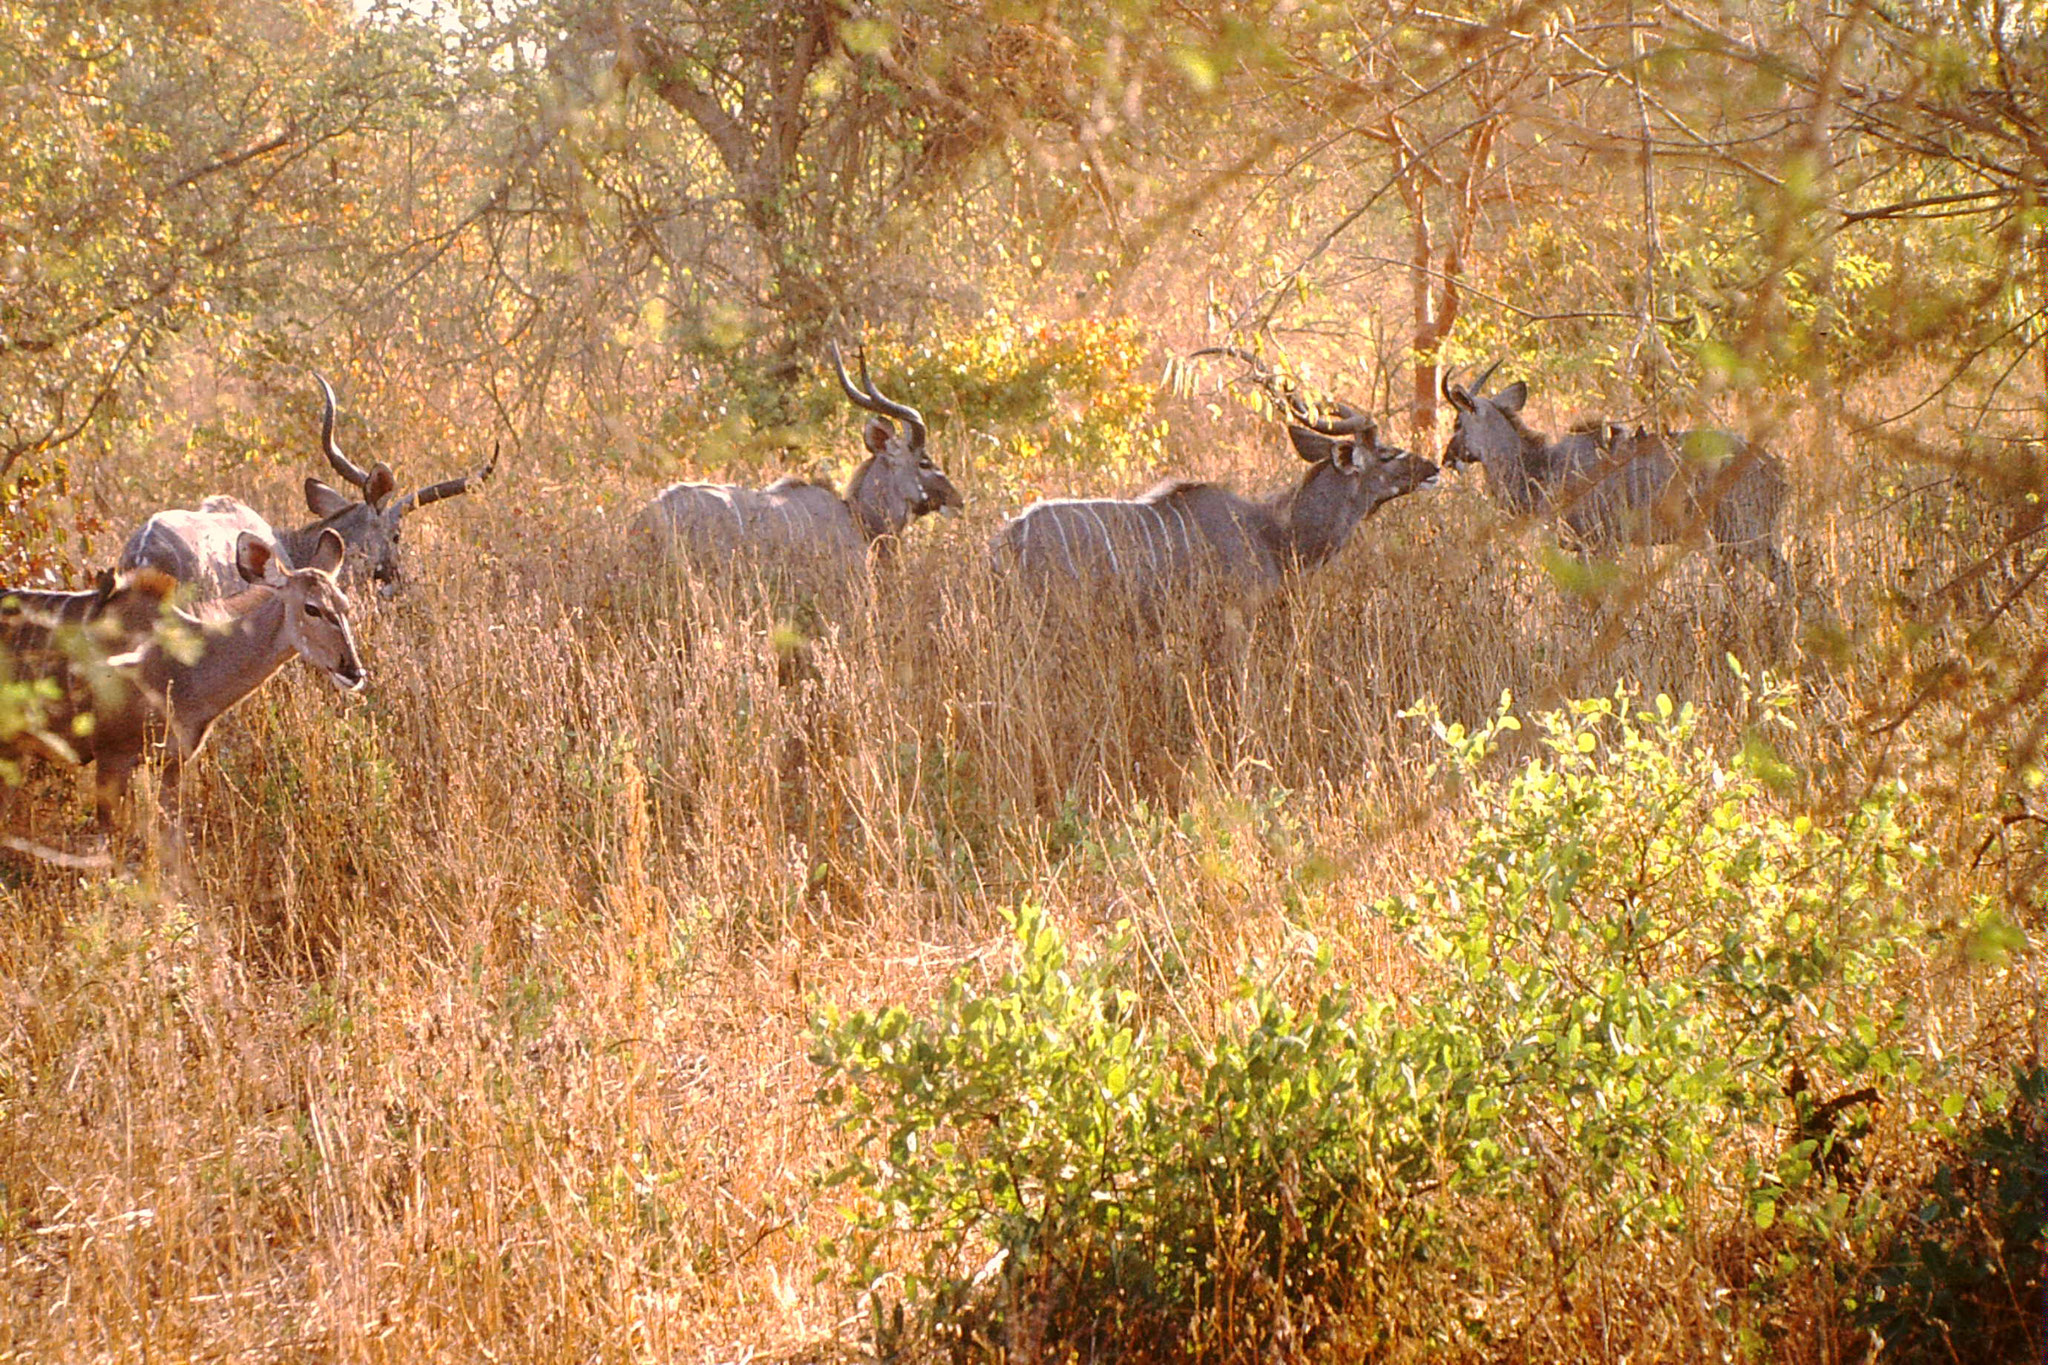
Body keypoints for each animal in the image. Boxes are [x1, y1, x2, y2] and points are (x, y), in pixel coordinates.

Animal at [4, 532, 366, 826]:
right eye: (312, 608)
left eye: (346, 606)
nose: (353, 671)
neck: (184, 669)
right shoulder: (111, 755)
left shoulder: (173, 762)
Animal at [1441, 366, 1794, 601]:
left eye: (1457, 422)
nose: (1446, 458)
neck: (1544, 467)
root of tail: (1777, 470)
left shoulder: (1598, 544)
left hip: (1743, 534)